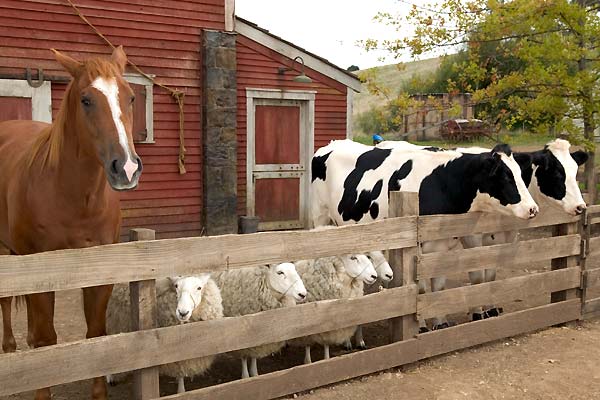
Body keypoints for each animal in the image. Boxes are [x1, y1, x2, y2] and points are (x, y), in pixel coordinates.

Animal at [0, 47, 142, 400]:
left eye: (131, 97)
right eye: (86, 100)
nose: (127, 168)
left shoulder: (100, 271)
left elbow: (95, 334)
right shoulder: (40, 270)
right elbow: (47, 340)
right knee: (7, 302)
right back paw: (9, 348)